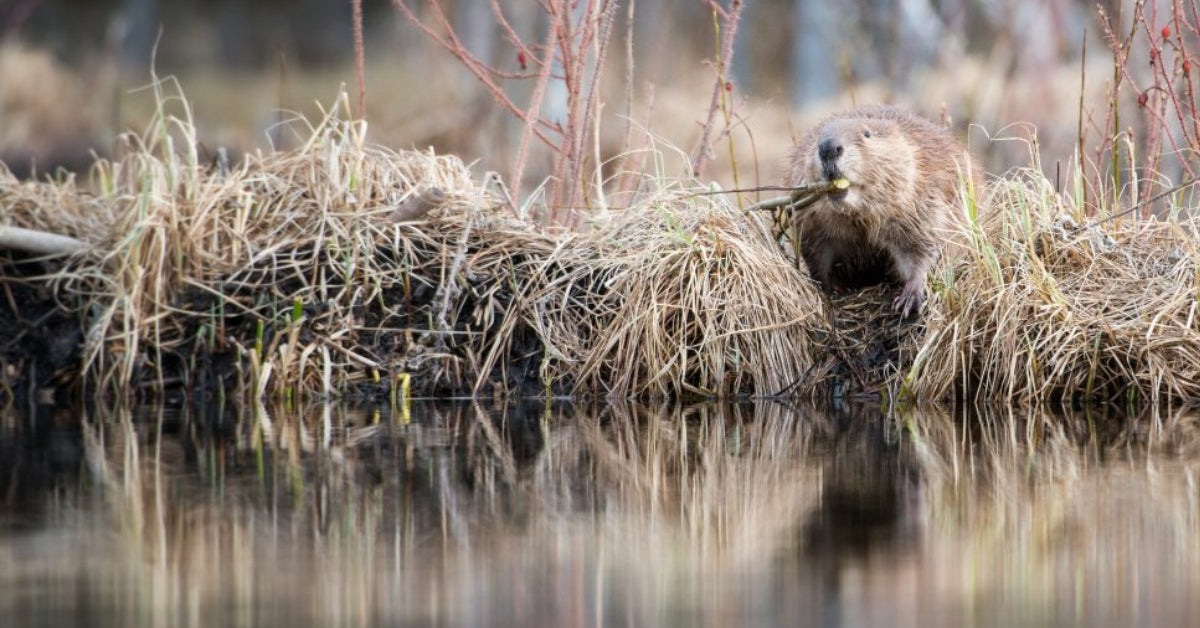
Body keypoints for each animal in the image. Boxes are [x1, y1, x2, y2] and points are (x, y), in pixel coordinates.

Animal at [787, 106, 974, 319]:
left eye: (867, 134)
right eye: (819, 137)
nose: (828, 147)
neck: (859, 216)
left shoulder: (924, 201)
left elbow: (924, 247)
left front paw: (910, 298)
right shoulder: (811, 221)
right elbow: (817, 255)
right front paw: (825, 292)